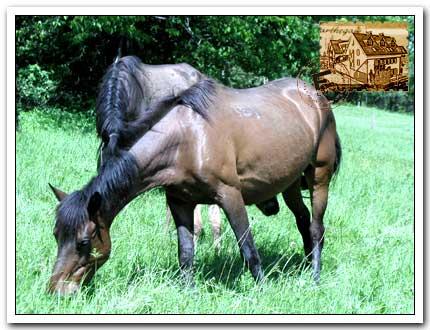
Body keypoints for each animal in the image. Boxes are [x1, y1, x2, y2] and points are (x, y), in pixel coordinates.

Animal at [48, 56, 340, 294]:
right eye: (56, 235)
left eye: (84, 241)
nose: (57, 291)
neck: (187, 140)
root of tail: (315, 96)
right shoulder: (180, 202)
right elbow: (186, 253)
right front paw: (189, 292)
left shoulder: (230, 196)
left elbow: (248, 249)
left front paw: (262, 291)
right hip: (289, 184)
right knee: (302, 220)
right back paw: (305, 264)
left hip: (319, 177)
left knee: (316, 227)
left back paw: (315, 276)